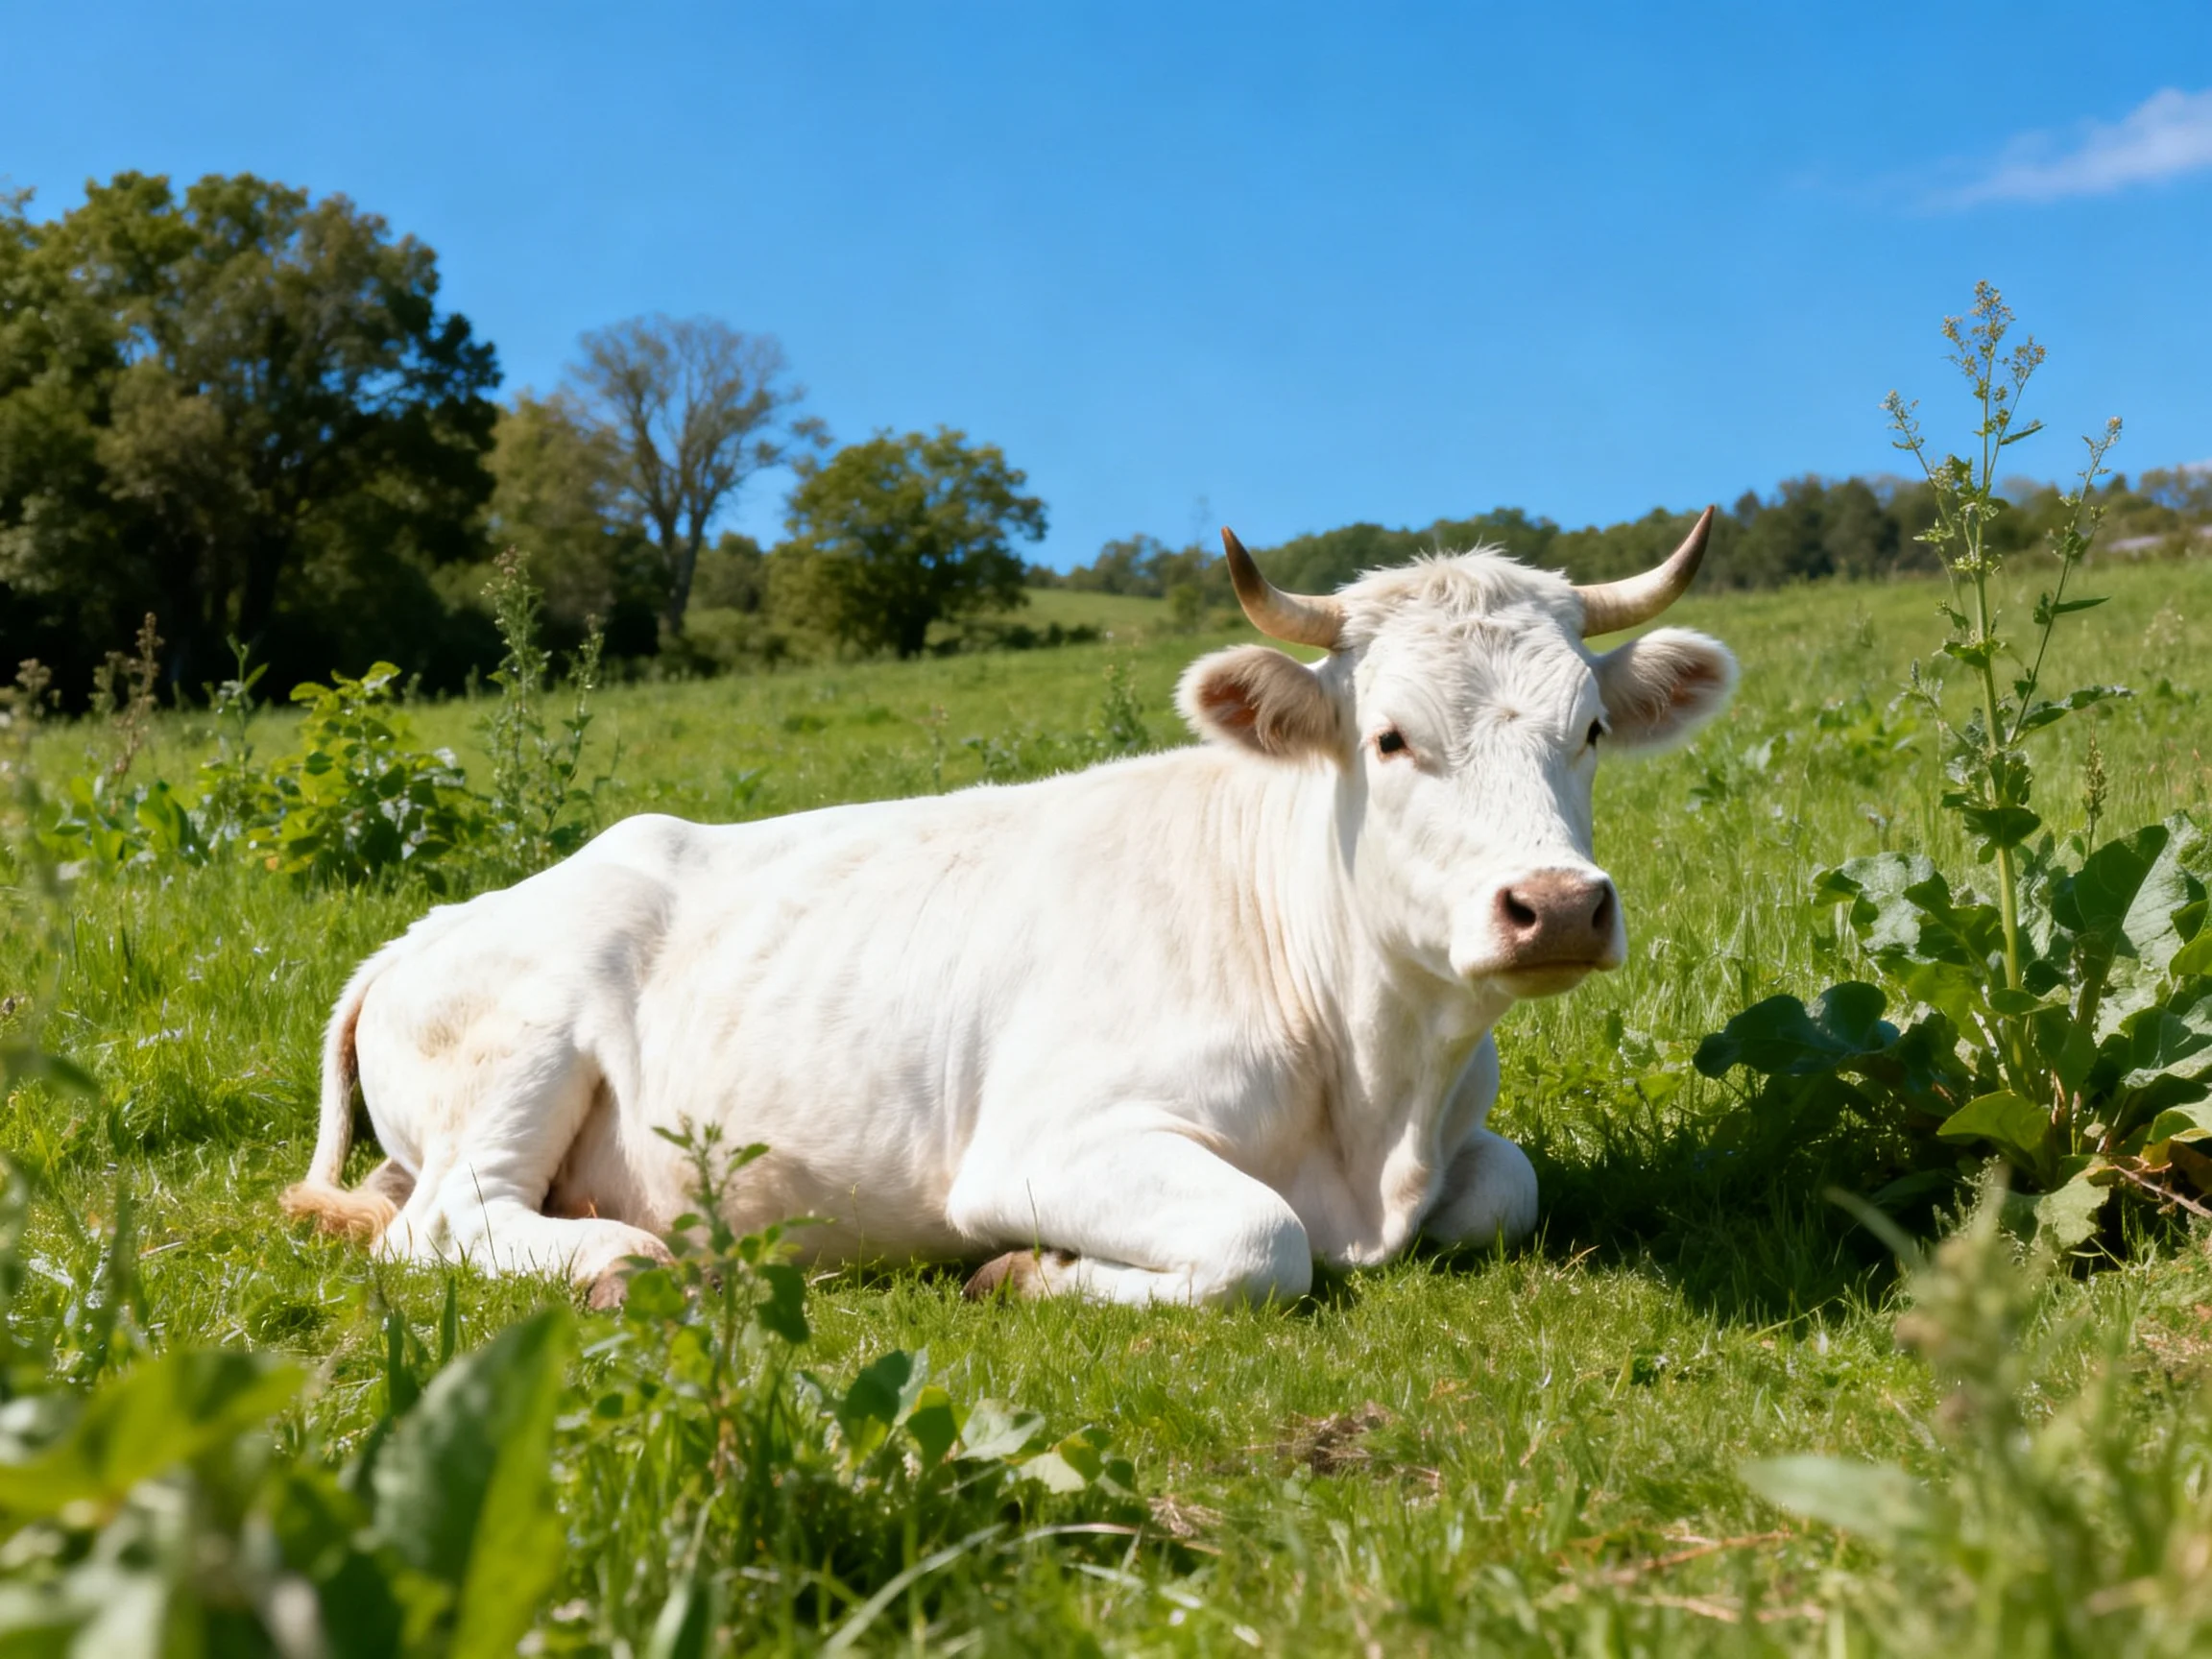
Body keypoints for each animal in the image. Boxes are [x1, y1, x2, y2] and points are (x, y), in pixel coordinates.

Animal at [281, 512, 1737, 1307]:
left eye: (1591, 730)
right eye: (1389, 739)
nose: (1556, 907)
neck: (1380, 1094)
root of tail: (426, 927)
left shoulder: (1463, 1145)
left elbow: (1510, 1187)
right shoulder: (1042, 1146)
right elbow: (1263, 1242)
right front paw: (1021, 1273)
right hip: (520, 1045)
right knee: (441, 1225)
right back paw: (626, 1255)